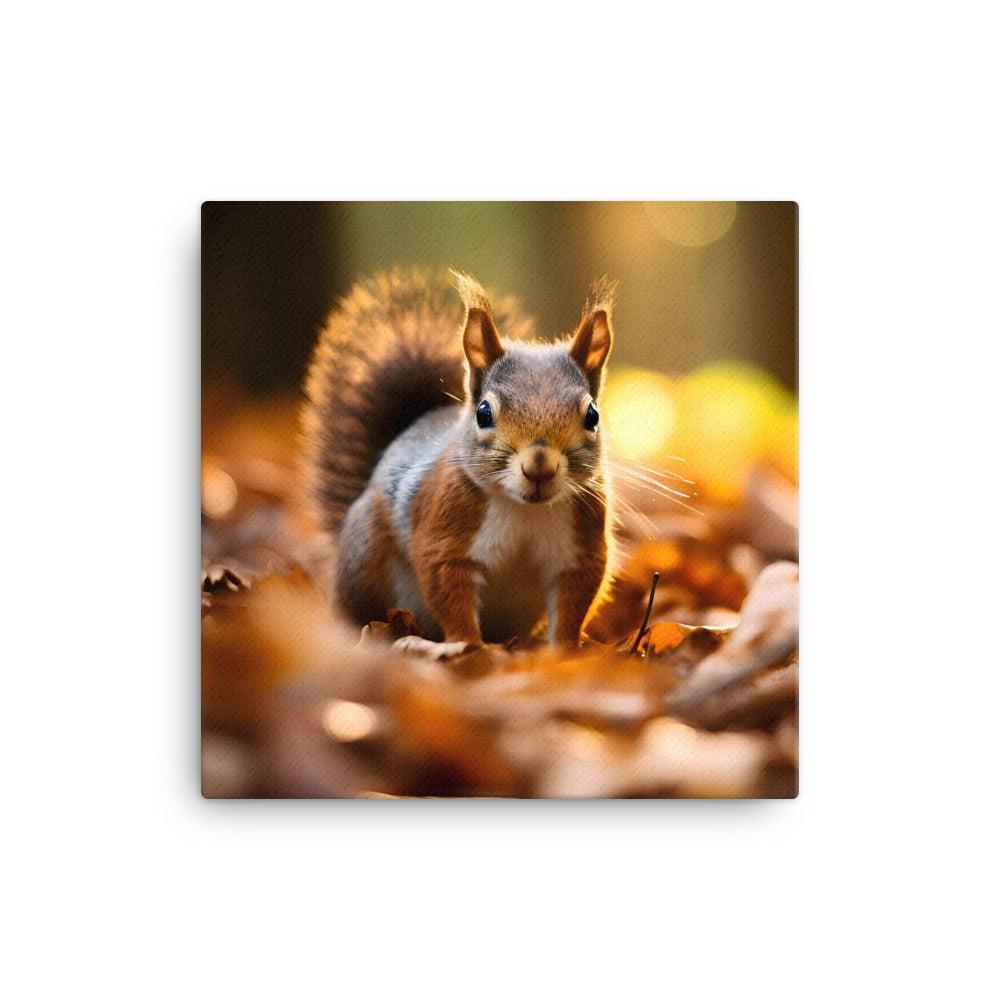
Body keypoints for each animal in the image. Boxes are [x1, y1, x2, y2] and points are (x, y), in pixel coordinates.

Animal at [302, 268, 616, 647]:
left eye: (592, 415)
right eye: (483, 413)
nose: (538, 466)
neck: (524, 510)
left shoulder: (580, 551)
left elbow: (573, 606)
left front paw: (565, 651)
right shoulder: (444, 535)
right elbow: (449, 594)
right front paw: (469, 647)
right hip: (362, 558)